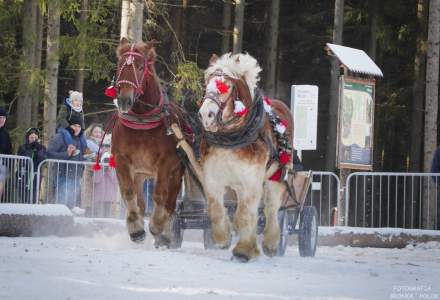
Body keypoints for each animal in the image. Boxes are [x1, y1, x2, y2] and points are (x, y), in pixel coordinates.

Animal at [111, 37, 186, 245]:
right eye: (120, 65)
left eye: (139, 66)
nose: (124, 100)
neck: (142, 121)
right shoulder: (122, 160)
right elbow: (129, 193)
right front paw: (136, 228)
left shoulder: (166, 162)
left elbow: (160, 196)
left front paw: (157, 225)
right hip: (140, 172)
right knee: (141, 200)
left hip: (176, 172)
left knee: (171, 201)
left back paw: (166, 234)